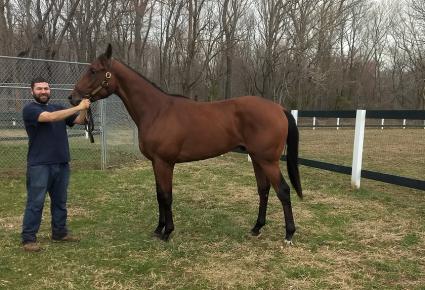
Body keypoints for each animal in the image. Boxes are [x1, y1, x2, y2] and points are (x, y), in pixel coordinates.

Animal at [69, 44, 302, 245]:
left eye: (93, 70)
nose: (73, 98)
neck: (157, 111)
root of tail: (279, 108)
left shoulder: (165, 162)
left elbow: (166, 196)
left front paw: (167, 232)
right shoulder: (156, 163)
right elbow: (159, 195)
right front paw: (158, 229)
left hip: (268, 160)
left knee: (283, 190)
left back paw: (289, 234)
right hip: (256, 158)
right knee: (264, 190)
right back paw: (256, 228)